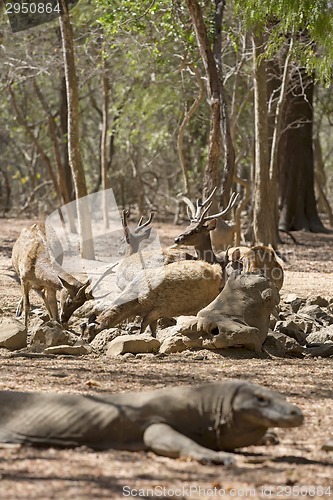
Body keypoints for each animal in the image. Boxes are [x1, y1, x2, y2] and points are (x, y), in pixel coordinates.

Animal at [91, 260, 222, 338]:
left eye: (94, 330)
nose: (88, 341)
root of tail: (216, 269)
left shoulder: (160, 308)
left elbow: (144, 324)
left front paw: (140, 336)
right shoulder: (151, 313)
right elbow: (152, 326)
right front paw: (153, 338)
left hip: (211, 298)